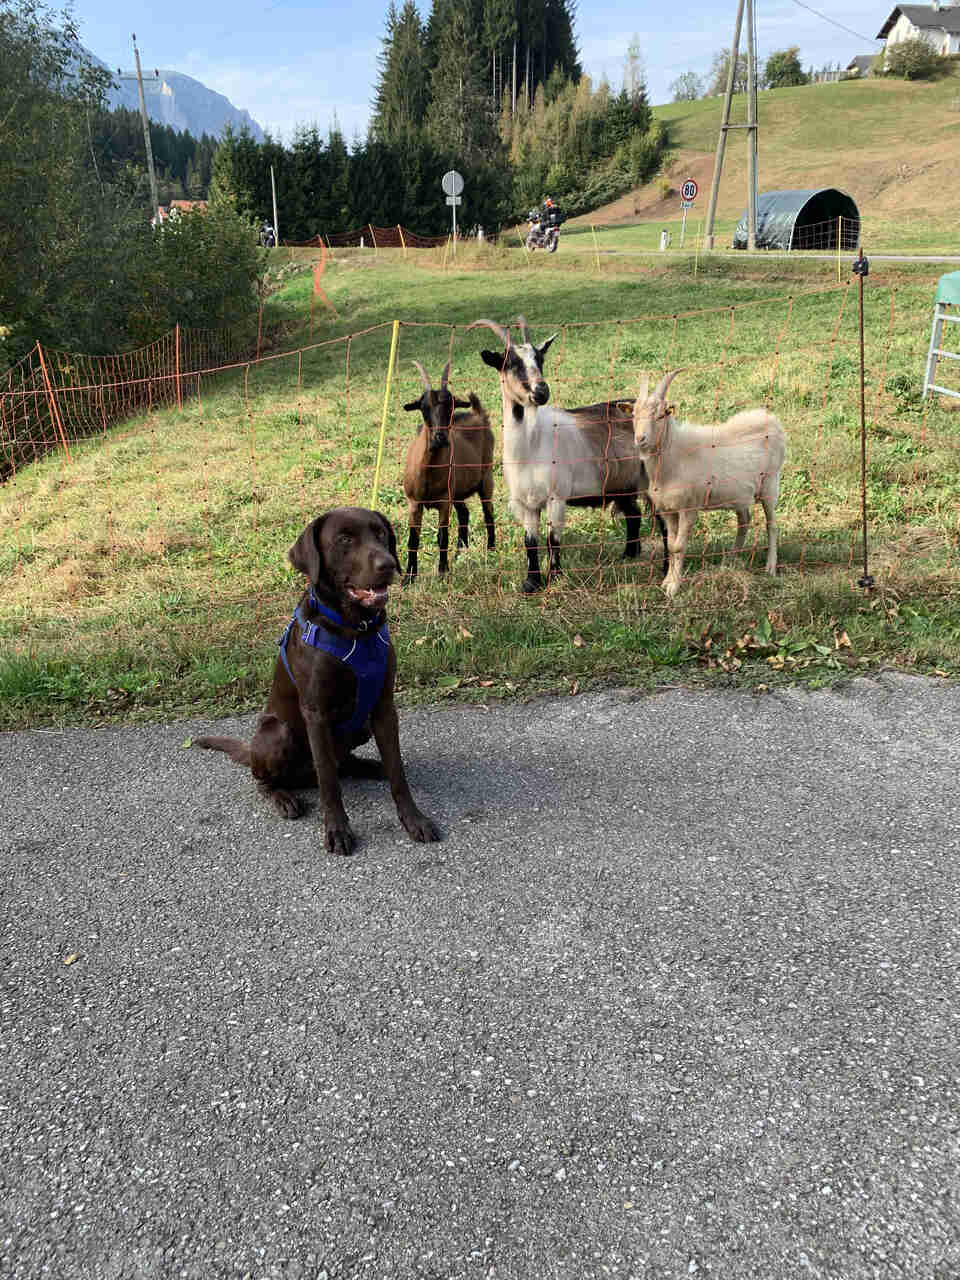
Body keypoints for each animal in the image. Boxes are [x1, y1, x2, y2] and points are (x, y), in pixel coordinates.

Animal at [401, 360, 495, 582]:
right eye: (424, 407)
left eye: (451, 406)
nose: (440, 437)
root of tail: (478, 414)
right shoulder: (414, 503)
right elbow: (413, 540)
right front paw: (409, 578)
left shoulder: (444, 501)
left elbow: (442, 536)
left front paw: (443, 571)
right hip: (458, 491)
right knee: (465, 513)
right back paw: (460, 553)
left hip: (486, 478)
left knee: (488, 513)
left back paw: (491, 550)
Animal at [468, 316, 665, 593]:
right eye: (511, 363)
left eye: (540, 359)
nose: (541, 391)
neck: (531, 447)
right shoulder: (526, 503)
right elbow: (530, 541)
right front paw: (531, 583)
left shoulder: (556, 497)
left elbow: (552, 540)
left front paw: (555, 579)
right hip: (623, 484)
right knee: (634, 514)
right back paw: (628, 555)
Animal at [633, 369, 787, 597]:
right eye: (633, 415)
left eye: (660, 415)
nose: (640, 439)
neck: (674, 456)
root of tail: (771, 419)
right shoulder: (668, 509)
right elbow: (670, 545)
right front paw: (666, 582)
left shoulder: (689, 506)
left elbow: (678, 546)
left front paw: (674, 588)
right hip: (740, 493)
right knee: (744, 520)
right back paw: (730, 561)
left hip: (770, 483)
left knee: (772, 525)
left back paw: (770, 568)